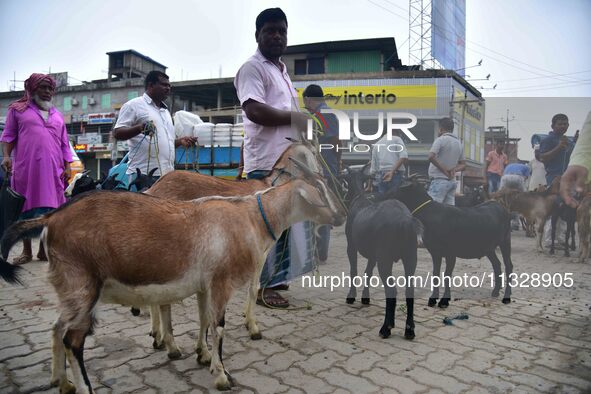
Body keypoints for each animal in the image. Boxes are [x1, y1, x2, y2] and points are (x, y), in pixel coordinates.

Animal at [344, 167, 424, 338]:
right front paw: (365, 297)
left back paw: (386, 327)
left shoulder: (351, 246)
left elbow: (354, 270)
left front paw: (351, 296)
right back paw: (409, 329)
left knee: (391, 290)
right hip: (410, 256)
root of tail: (406, 220)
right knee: (409, 289)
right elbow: (368, 272)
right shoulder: (373, 254)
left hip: (385, 258)